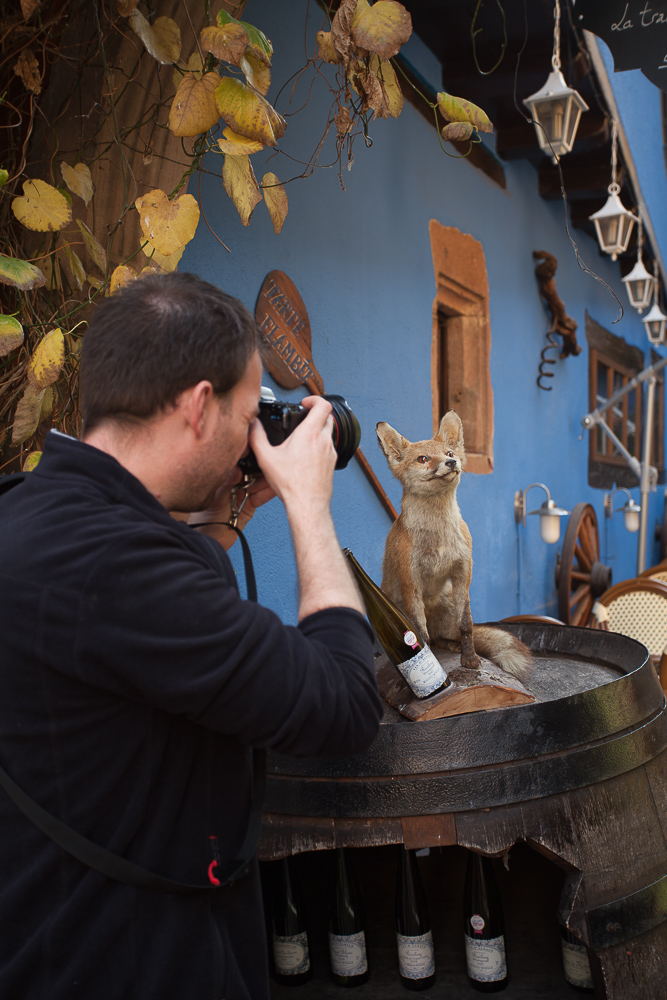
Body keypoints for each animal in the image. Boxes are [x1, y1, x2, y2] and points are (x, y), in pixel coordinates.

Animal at [378, 410, 536, 684]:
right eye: (423, 458)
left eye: (449, 453)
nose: (451, 463)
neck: (438, 538)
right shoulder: (411, 582)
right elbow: (421, 635)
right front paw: (432, 670)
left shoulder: (463, 572)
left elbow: (468, 624)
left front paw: (470, 660)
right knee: (429, 638)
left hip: (449, 609)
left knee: (444, 637)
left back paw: (453, 646)